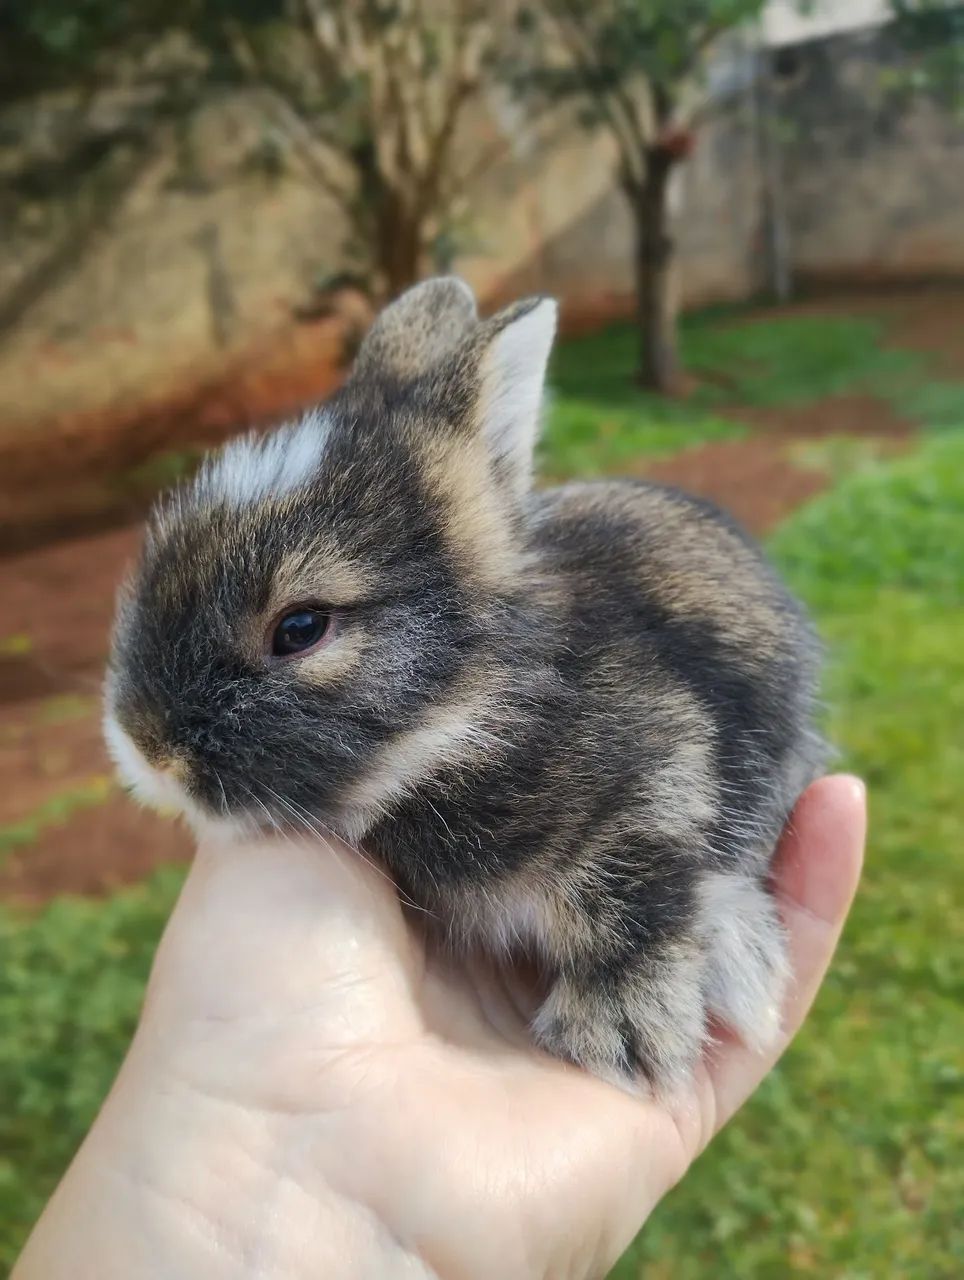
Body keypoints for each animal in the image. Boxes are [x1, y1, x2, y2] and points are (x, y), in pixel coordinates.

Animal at [104, 277, 827, 1091]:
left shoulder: (667, 770)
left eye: (301, 628)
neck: (470, 715)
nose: (147, 752)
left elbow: (639, 893)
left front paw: (619, 1036)